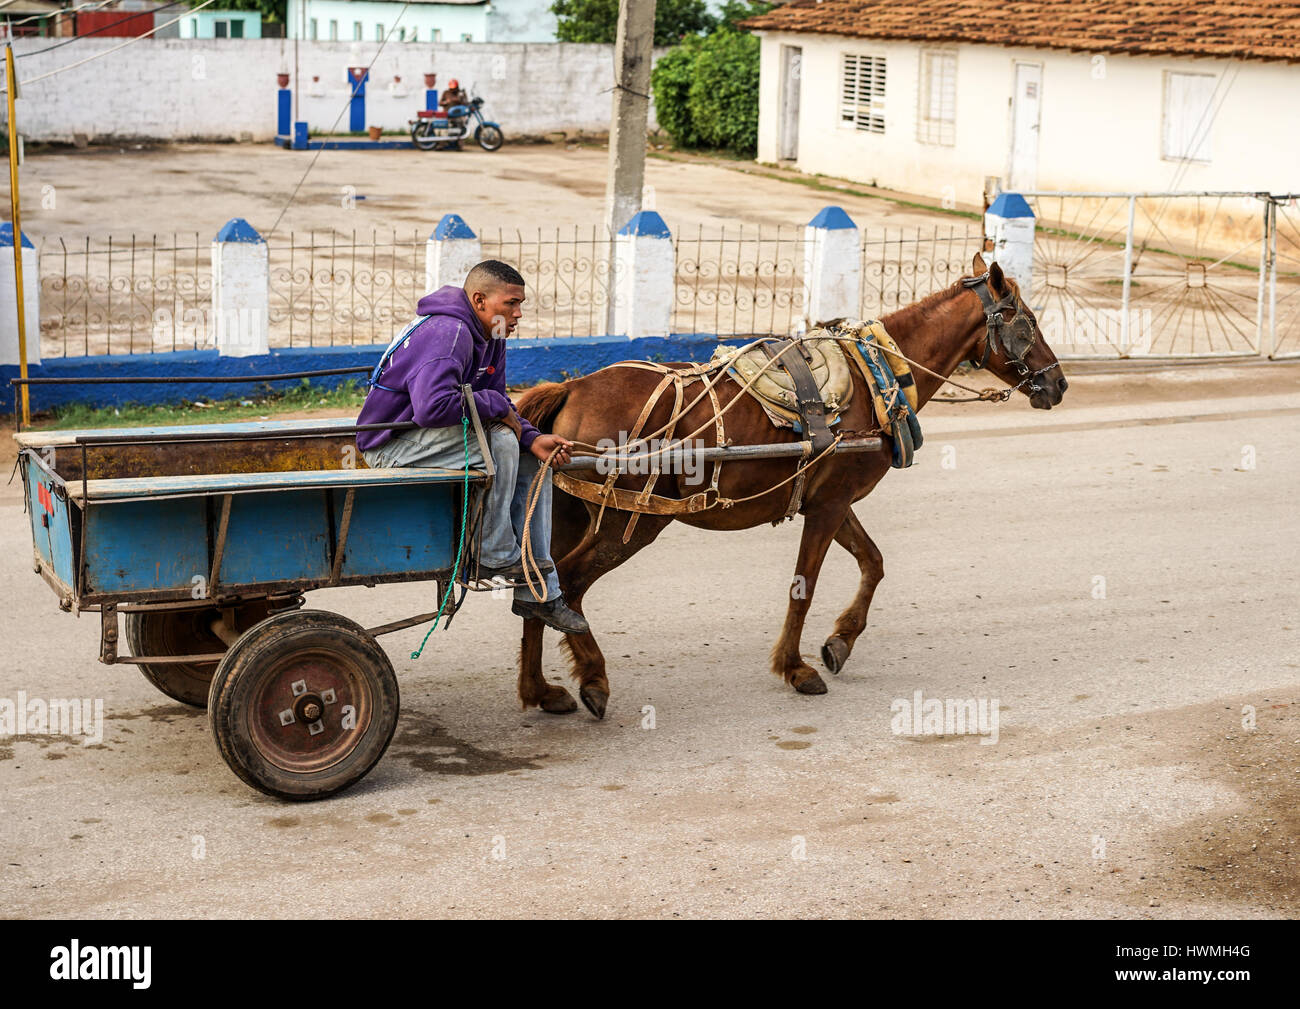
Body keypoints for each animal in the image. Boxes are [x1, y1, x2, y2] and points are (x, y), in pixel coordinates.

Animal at [509, 256, 1066, 722]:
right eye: (1026, 322)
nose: (1059, 384)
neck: (878, 373)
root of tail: (571, 388)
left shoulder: (831, 500)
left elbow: (874, 563)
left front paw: (840, 642)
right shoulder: (829, 505)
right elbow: (805, 586)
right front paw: (796, 668)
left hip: (568, 513)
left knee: (538, 587)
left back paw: (540, 691)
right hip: (631, 521)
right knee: (568, 587)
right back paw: (594, 679)